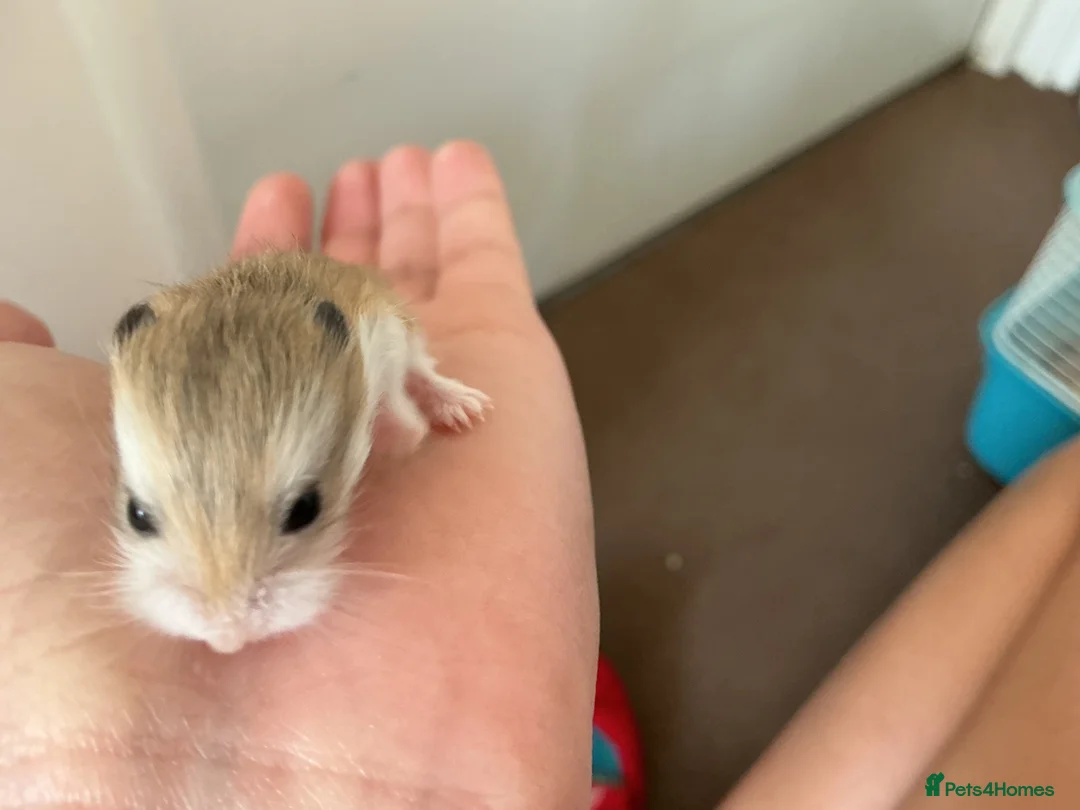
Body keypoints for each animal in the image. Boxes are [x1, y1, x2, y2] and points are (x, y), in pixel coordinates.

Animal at [106, 250, 491, 654]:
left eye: (306, 509)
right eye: (136, 515)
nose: (228, 640)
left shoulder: (383, 334)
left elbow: (403, 409)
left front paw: (404, 435)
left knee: (424, 370)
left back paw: (464, 409)